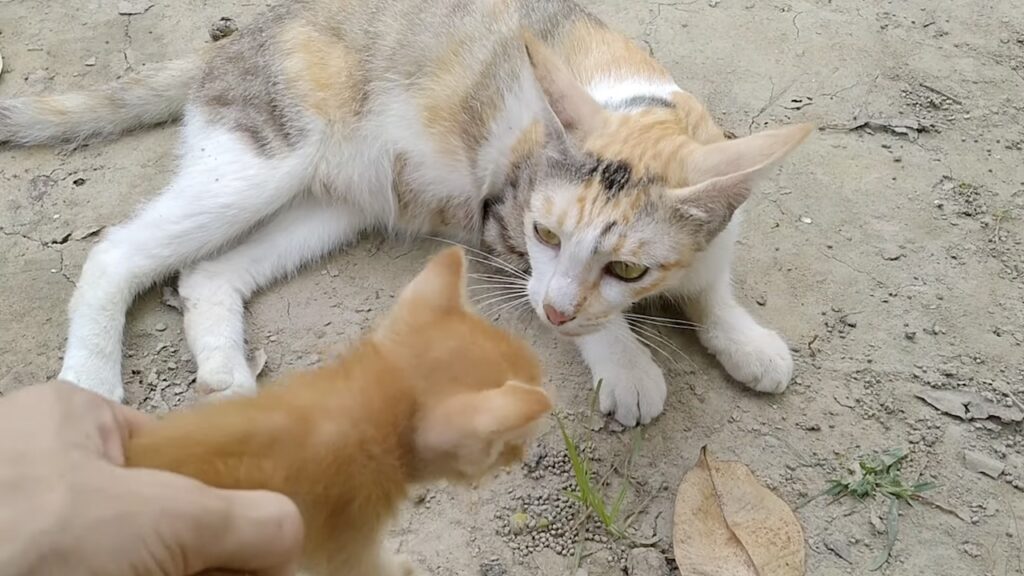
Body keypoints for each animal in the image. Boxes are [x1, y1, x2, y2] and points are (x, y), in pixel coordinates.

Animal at [2, 0, 815, 422]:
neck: (637, 104)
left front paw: (744, 340)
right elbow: (585, 315)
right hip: (260, 160)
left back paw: (226, 372)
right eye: (544, 232)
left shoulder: (720, 211)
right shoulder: (502, 225)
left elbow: (710, 285)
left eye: (627, 267)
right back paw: (88, 386)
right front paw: (625, 359)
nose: (555, 310)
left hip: (332, 204)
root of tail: (245, 34)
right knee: (116, 251)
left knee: (207, 272)